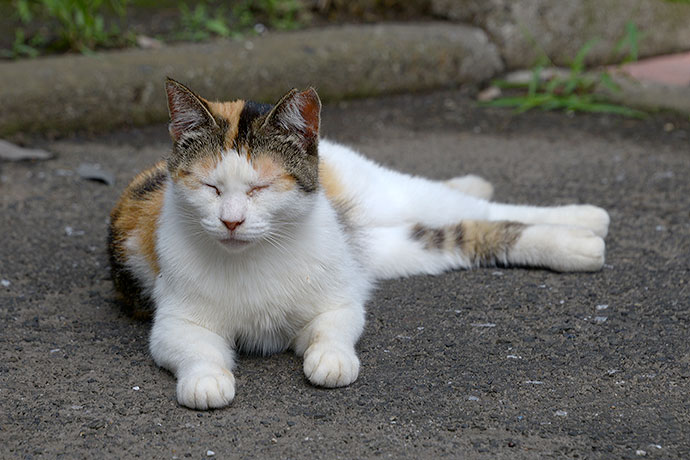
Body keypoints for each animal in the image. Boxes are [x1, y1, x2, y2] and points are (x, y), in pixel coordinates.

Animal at [107, 78, 608, 410]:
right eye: (210, 187)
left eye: (260, 188)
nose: (231, 221)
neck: (257, 256)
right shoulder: (174, 323)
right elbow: (196, 348)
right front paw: (208, 381)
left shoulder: (338, 300)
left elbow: (333, 329)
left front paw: (330, 360)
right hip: (394, 249)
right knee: (466, 231)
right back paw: (578, 240)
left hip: (382, 194)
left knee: (467, 205)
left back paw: (582, 215)